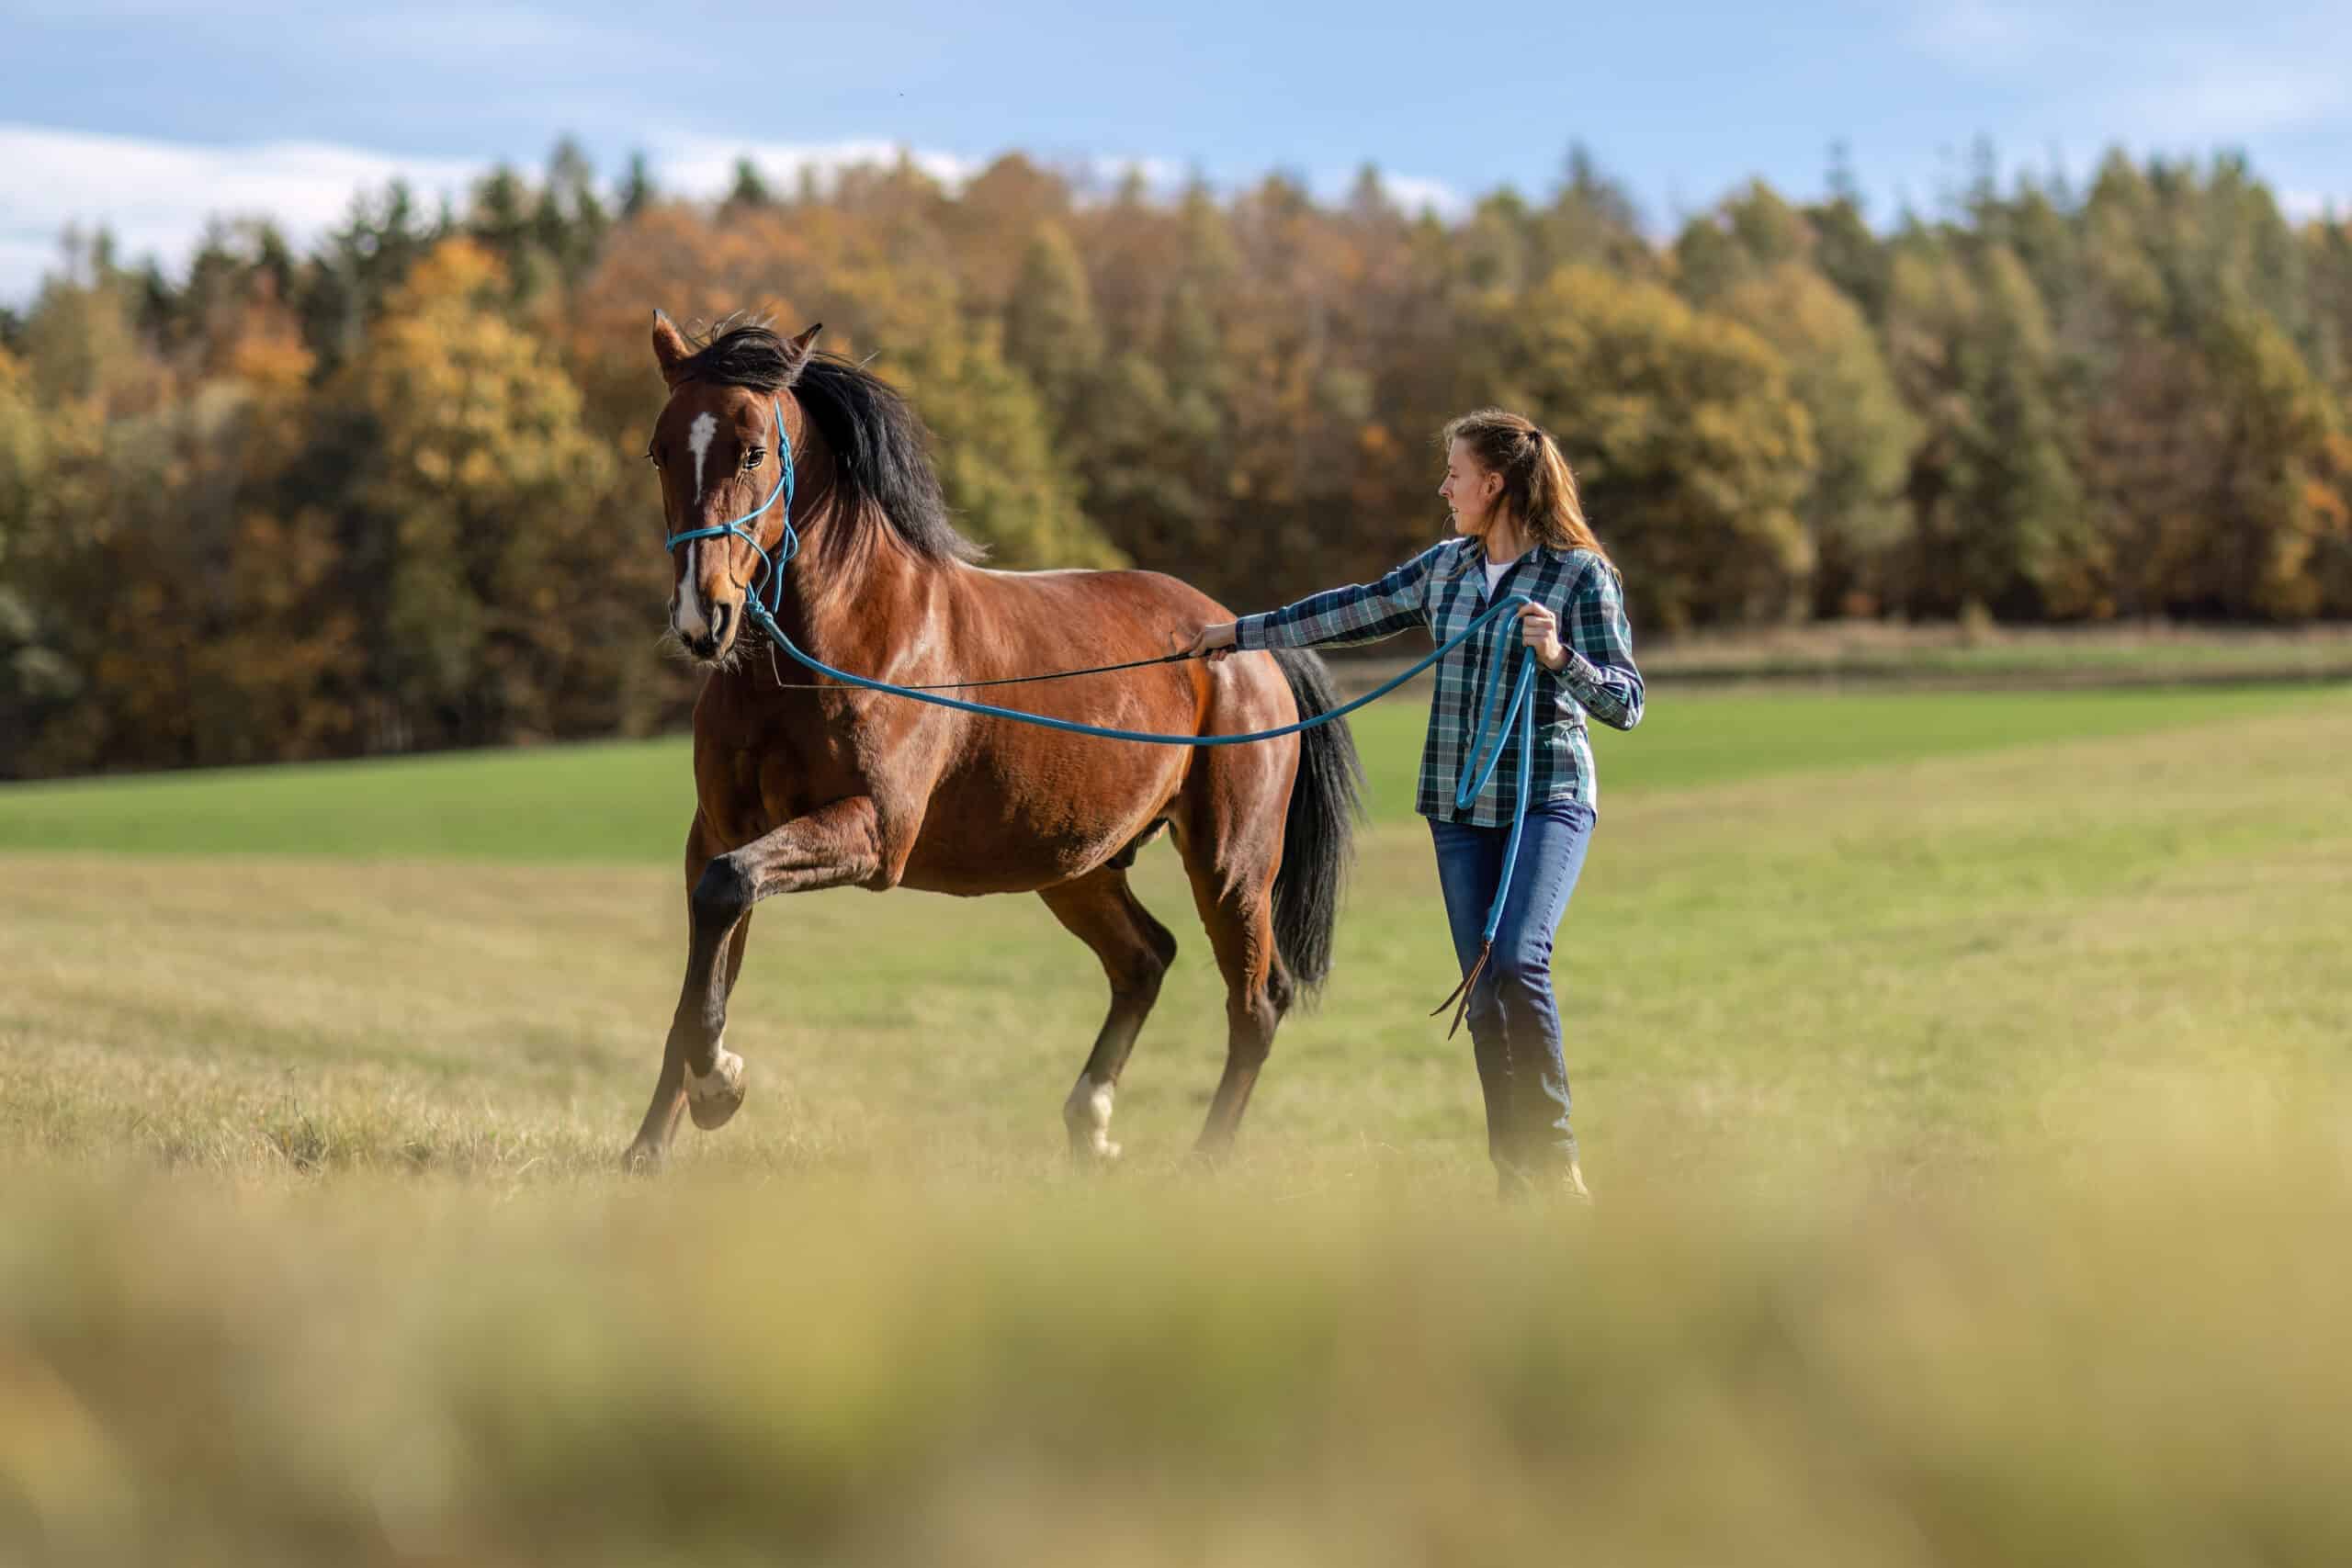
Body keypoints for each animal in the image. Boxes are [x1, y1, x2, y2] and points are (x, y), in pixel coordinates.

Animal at [623, 313, 1364, 1171]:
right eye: (659, 449)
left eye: (751, 451)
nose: (700, 615)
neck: (833, 644)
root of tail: (1244, 636)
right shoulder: (718, 831)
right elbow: (707, 956)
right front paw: (652, 1143)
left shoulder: (877, 833)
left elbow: (728, 894)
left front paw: (720, 1088)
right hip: (1076, 863)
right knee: (1146, 959)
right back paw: (1091, 1125)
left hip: (1231, 863)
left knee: (1257, 1001)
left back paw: (1202, 1160)